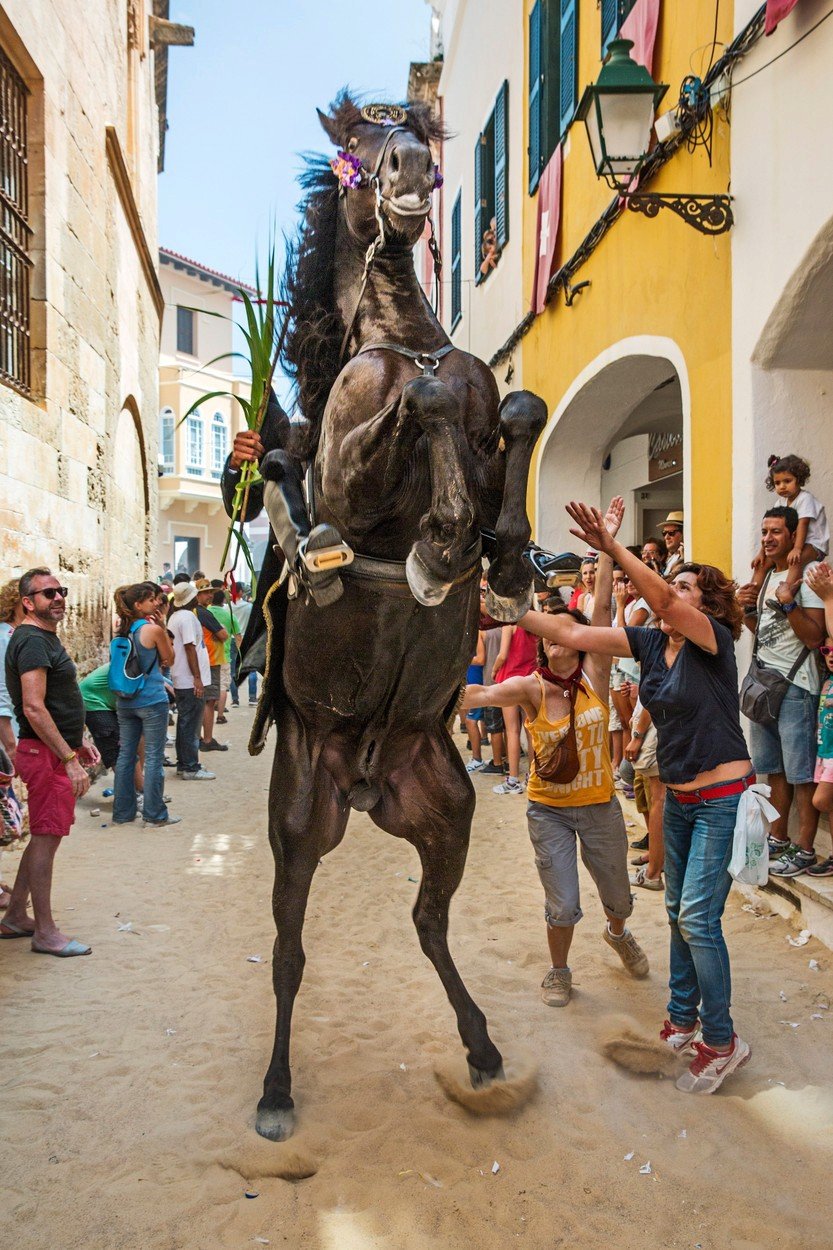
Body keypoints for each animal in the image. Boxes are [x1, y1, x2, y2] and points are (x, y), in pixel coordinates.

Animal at [243, 95, 547, 1145]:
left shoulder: (494, 426)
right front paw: (436, 544)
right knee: (288, 953)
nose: (411, 165)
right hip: (299, 824)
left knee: (427, 922)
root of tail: (370, 782)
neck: (405, 332)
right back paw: (276, 1092)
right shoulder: (347, 480)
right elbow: (422, 400)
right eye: (354, 148)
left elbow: (515, 413)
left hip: (447, 811)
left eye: (408, 129)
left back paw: (484, 1048)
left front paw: (493, 557)